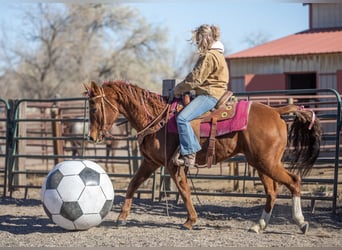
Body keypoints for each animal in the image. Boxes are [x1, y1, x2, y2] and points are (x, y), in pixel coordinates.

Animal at [84, 80, 322, 234]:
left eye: (94, 108)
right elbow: (133, 185)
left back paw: (301, 222)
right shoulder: (151, 163)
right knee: (272, 191)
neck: (157, 118)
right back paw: (258, 225)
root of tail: (276, 112)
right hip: (260, 163)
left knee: (293, 181)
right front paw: (121, 218)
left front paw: (191, 220)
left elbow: (184, 191)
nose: (92, 136)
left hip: (267, 162)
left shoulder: (173, 165)